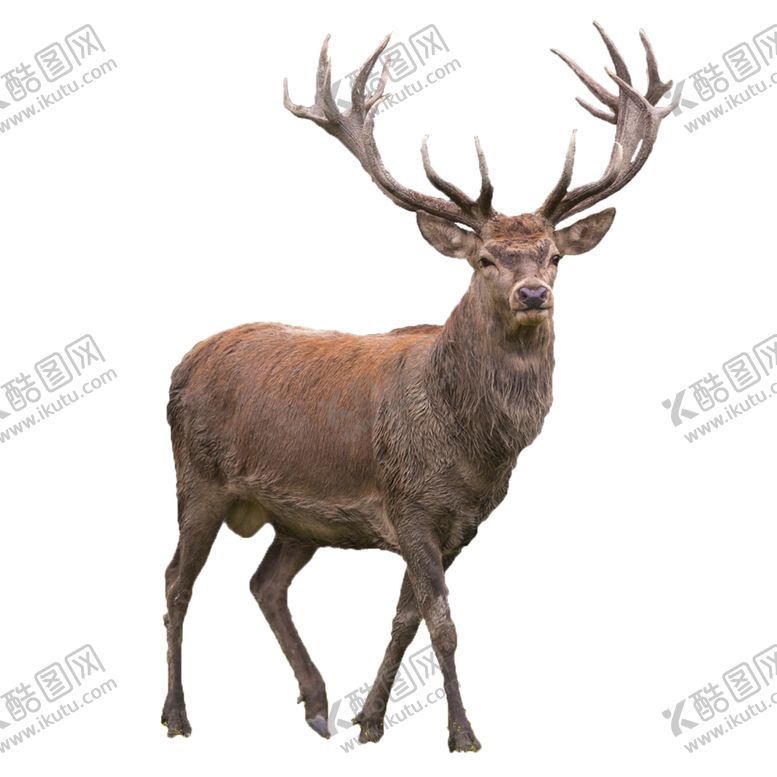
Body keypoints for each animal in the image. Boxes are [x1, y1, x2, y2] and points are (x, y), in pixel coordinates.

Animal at [162, 23, 678, 751]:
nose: (533, 293)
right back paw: (178, 714)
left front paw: (371, 719)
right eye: (484, 258)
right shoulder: (406, 502)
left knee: (264, 582)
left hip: (296, 518)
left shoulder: (459, 521)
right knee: (177, 580)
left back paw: (317, 704)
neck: (471, 447)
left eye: (553, 255)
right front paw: (462, 733)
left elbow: (406, 618)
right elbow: (442, 623)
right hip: (197, 478)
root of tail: (182, 363)